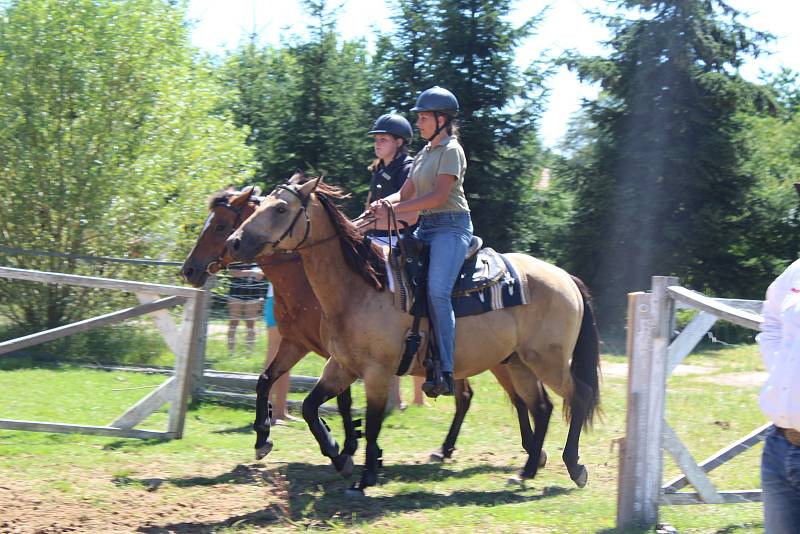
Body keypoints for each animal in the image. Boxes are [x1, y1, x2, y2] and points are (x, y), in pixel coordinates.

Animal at [180, 186, 524, 472]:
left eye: (221, 225)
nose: (189, 270)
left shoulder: (337, 355)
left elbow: (341, 401)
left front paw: (347, 445)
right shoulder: (297, 344)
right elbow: (265, 380)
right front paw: (264, 438)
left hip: (498, 359)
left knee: (506, 396)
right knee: (468, 395)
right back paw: (450, 449)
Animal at [227, 178, 600, 496]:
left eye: (280, 208)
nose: (234, 242)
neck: (362, 286)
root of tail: (565, 277)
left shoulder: (376, 371)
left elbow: (372, 421)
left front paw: (364, 475)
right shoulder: (341, 365)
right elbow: (308, 406)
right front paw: (339, 455)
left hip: (547, 361)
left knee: (577, 396)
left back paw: (573, 466)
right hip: (518, 363)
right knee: (541, 407)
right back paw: (526, 470)